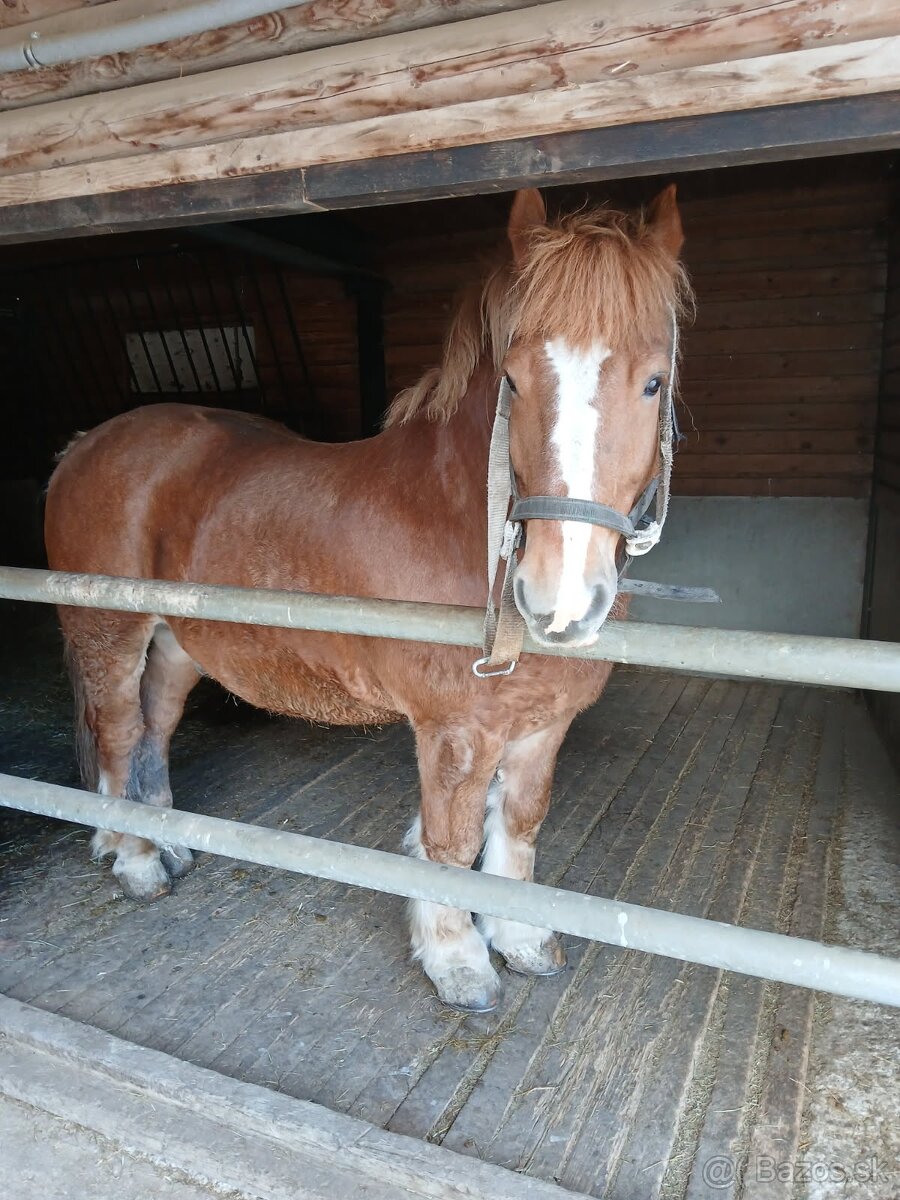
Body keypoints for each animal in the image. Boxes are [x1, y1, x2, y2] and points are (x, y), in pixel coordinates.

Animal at [45, 187, 686, 1012]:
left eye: (653, 382)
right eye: (513, 382)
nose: (560, 599)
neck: (460, 523)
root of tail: (85, 445)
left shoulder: (544, 725)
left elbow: (519, 824)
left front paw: (520, 938)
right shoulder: (455, 733)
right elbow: (450, 842)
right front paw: (458, 961)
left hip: (178, 643)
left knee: (154, 729)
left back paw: (168, 843)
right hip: (111, 633)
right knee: (120, 735)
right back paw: (134, 859)